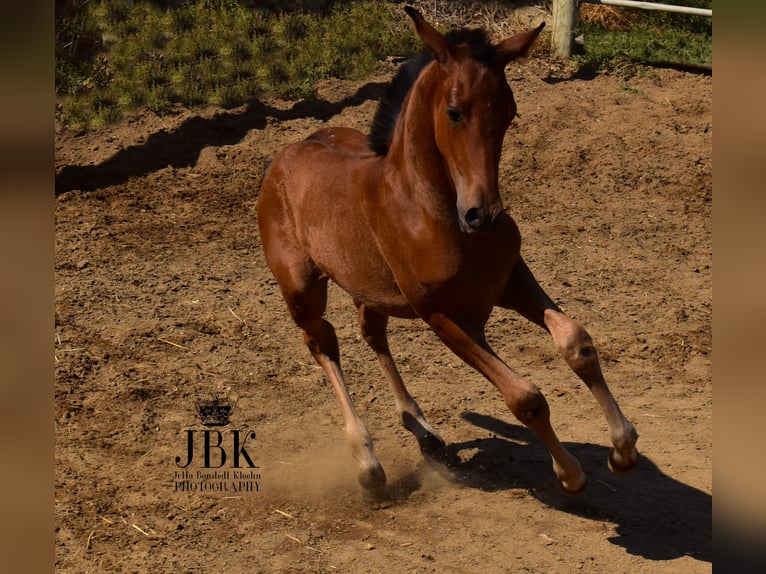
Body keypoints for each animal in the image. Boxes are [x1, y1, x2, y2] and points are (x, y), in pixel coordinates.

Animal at [257, 6, 638, 498]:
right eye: (454, 112)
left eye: (510, 112)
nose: (482, 215)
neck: (429, 210)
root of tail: (282, 156)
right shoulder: (443, 316)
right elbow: (524, 397)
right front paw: (570, 473)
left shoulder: (510, 279)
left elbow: (577, 344)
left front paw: (623, 449)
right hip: (302, 289)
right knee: (321, 341)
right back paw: (367, 463)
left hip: (371, 286)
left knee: (370, 331)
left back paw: (421, 427)